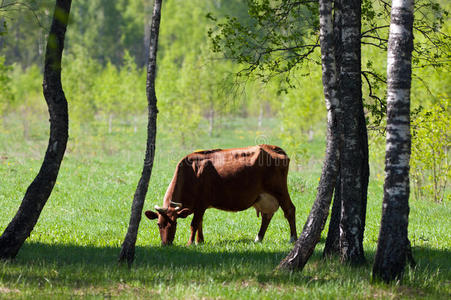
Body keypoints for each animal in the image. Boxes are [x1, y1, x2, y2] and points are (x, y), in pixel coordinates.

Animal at [145, 144, 298, 245]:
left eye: (175, 223)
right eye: (159, 224)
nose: (166, 244)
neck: (191, 173)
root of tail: (272, 147)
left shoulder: (201, 204)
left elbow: (194, 224)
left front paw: (190, 243)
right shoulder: (199, 207)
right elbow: (200, 223)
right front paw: (200, 241)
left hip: (279, 190)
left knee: (290, 210)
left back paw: (293, 238)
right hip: (264, 197)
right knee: (267, 216)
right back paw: (258, 238)